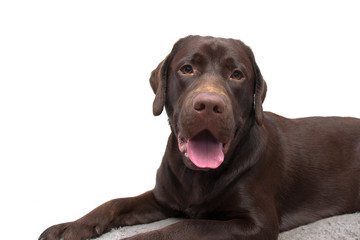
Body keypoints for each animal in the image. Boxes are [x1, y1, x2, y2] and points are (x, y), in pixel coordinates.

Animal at [40, 35, 360, 240]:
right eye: (187, 69)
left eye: (236, 74)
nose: (209, 104)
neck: (196, 176)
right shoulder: (162, 198)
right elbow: (115, 202)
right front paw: (69, 227)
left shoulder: (255, 224)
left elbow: (183, 228)